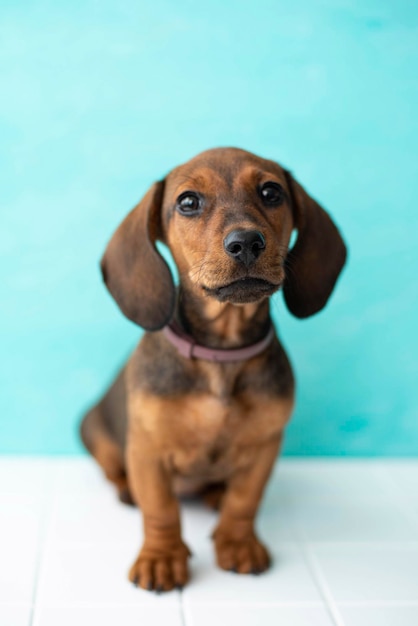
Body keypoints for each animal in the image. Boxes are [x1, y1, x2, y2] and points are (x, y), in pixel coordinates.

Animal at [79, 146, 346, 588]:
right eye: (188, 202)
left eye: (271, 192)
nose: (246, 242)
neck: (220, 354)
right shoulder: (148, 451)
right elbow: (161, 509)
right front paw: (161, 557)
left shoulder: (265, 447)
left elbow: (244, 500)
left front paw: (238, 542)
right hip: (94, 431)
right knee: (113, 468)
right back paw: (127, 490)